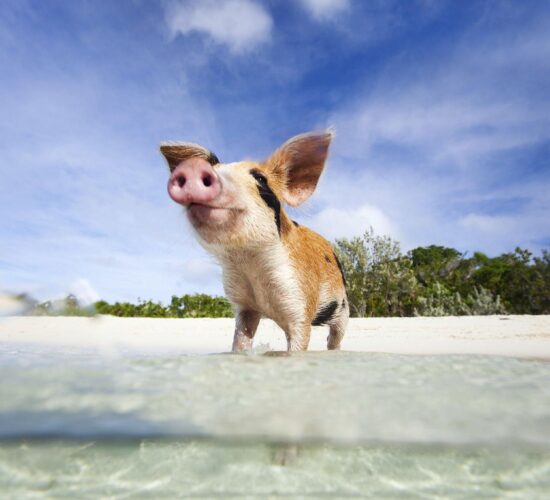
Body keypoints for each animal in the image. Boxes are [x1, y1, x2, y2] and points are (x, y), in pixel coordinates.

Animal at [162, 133, 350, 352]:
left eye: (260, 178)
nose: (193, 167)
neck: (250, 264)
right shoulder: (244, 306)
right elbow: (241, 338)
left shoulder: (300, 299)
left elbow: (299, 340)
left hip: (343, 307)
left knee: (335, 336)